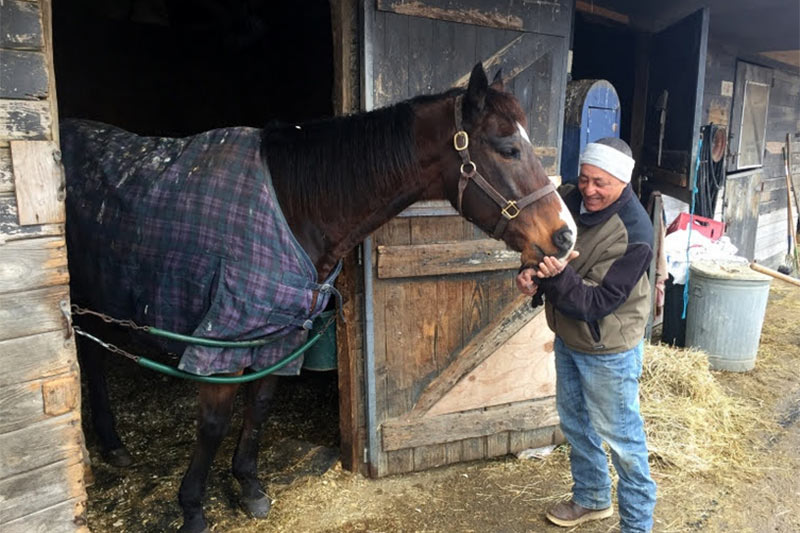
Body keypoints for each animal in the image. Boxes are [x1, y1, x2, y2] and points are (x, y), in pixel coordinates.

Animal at [62, 63, 576, 533]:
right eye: (508, 148)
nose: (565, 235)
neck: (292, 203)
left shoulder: (281, 336)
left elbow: (259, 408)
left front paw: (249, 486)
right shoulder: (222, 342)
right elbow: (212, 424)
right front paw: (192, 510)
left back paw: (112, 444)